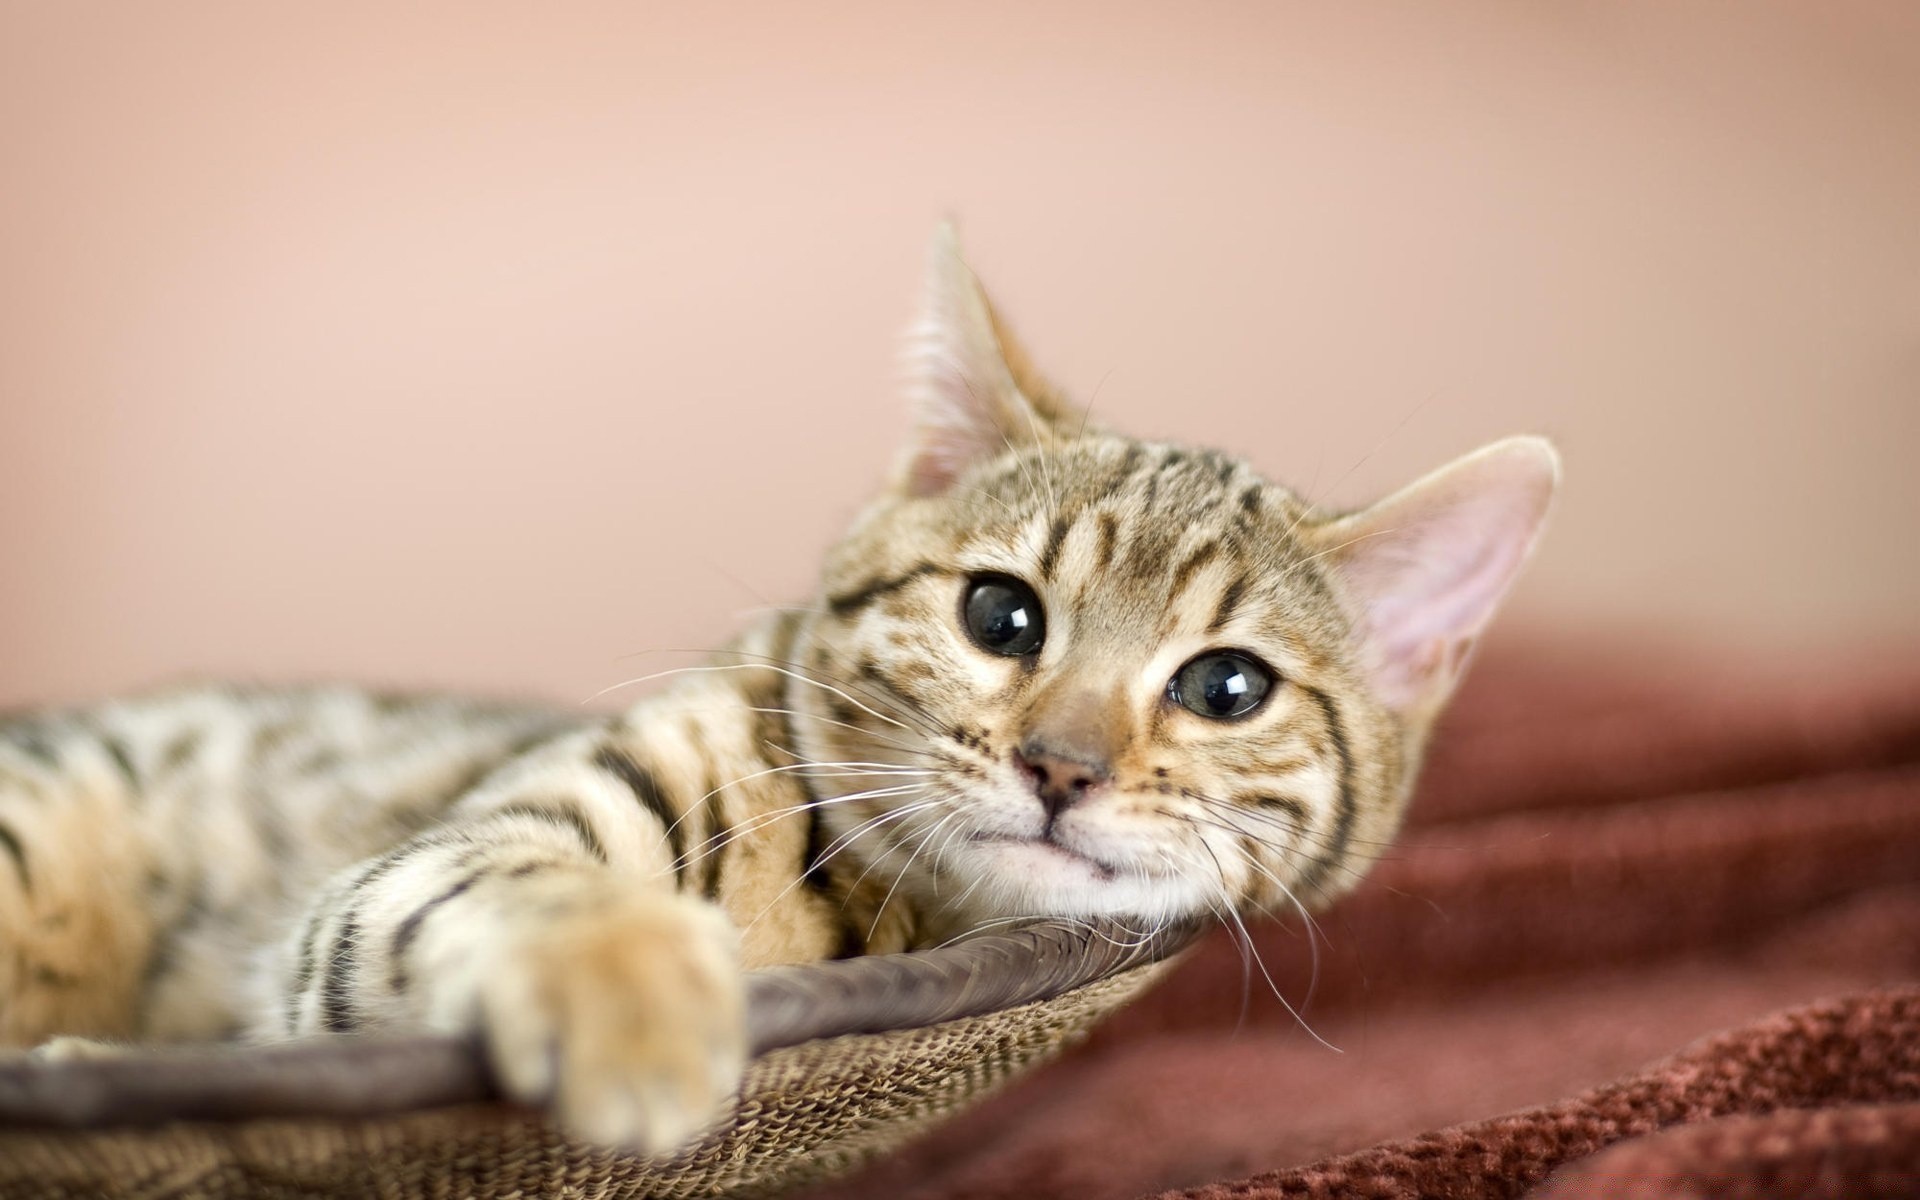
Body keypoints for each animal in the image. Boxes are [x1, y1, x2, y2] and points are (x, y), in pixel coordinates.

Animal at [0, 224, 1559, 1152]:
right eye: (1001, 614)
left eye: (1227, 687)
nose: (1062, 767)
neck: (878, 918)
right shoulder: (414, 873)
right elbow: (526, 882)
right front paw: (623, 986)